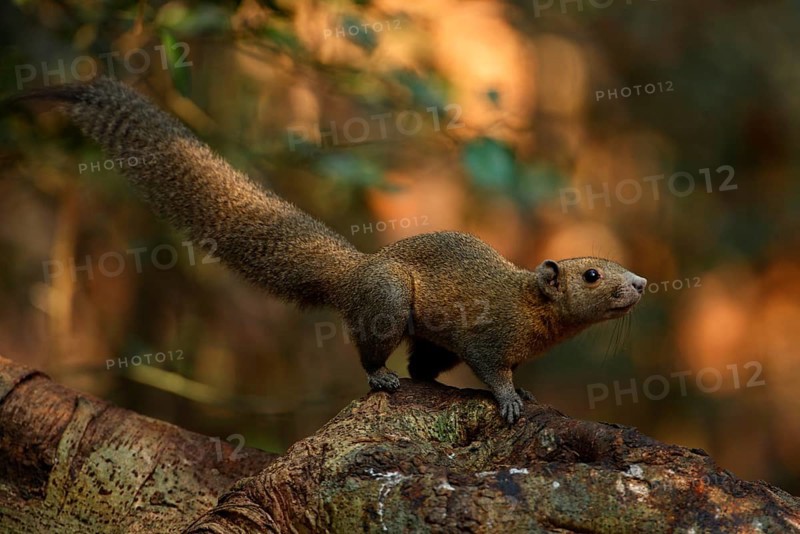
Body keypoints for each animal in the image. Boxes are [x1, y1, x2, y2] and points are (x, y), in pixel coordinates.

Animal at [13, 77, 647, 423]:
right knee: (377, 357)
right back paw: (383, 381)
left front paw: (526, 391)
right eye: (593, 274)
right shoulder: (488, 338)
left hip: (427, 336)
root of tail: (358, 270)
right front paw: (511, 401)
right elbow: (495, 371)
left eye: (619, 268)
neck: (533, 316)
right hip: (388, 303)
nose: (641, 283)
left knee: (423, 366)